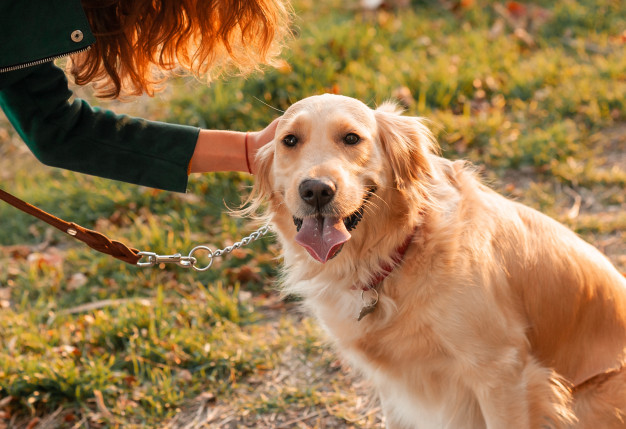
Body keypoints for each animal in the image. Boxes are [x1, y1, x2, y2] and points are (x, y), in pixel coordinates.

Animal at [245, 94, 624, 428]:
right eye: (290, 140)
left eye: (351, 138)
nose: (316, 190)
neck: (396, 254)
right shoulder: (395, 388)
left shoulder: (501, 371)